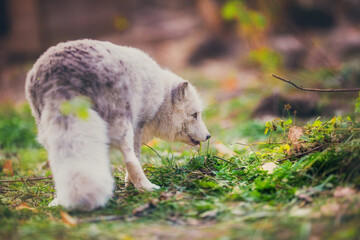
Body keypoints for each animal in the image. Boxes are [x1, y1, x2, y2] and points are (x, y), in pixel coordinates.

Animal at [24, 39, 211, 210]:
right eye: (195, 115)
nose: (208, 136)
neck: (161, 99)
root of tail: (62, 76)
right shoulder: (138, 126)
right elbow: (136, 157)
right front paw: (131, 185)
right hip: (121, 125)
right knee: (129, 158)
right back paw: (147, 187)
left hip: (48, 133)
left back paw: (59, 200)